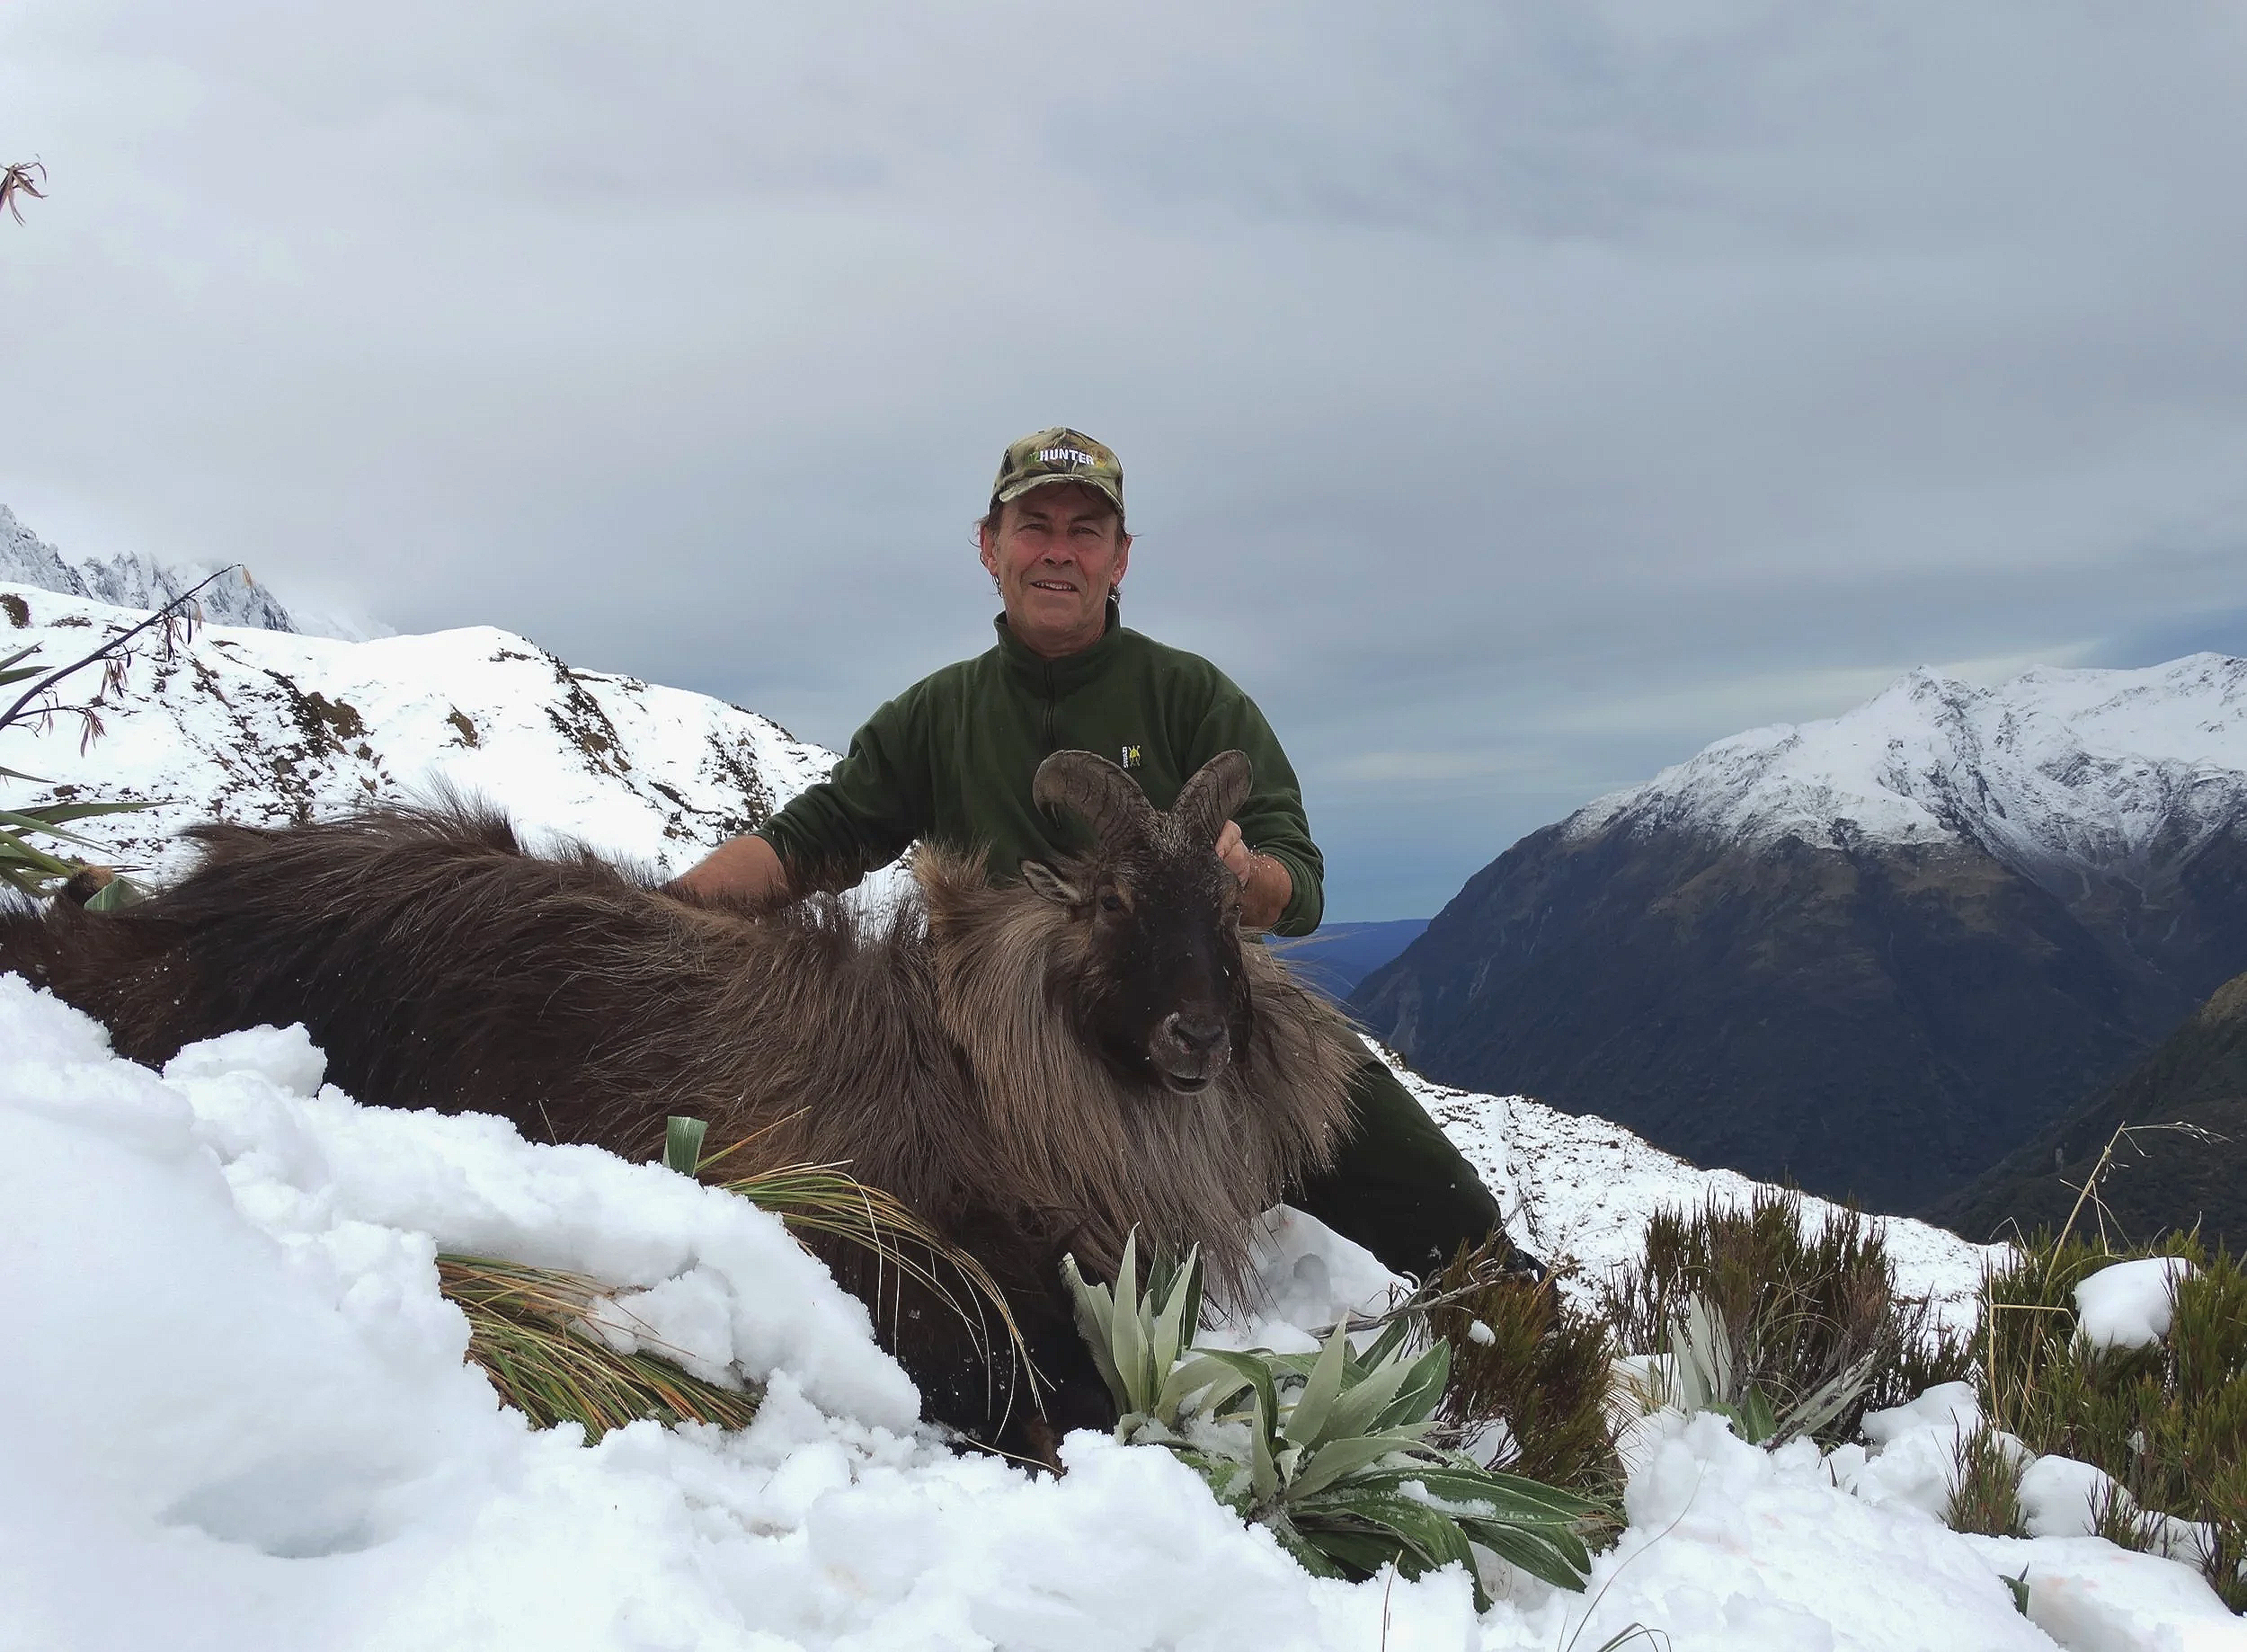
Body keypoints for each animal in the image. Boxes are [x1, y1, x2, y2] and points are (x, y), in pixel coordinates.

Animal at [0, 750, 1365, 1450]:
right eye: (1116, 900)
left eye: (1224, 909)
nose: (1201, 1033)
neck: (991, 1084)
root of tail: (160, 932)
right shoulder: (909, 1263)